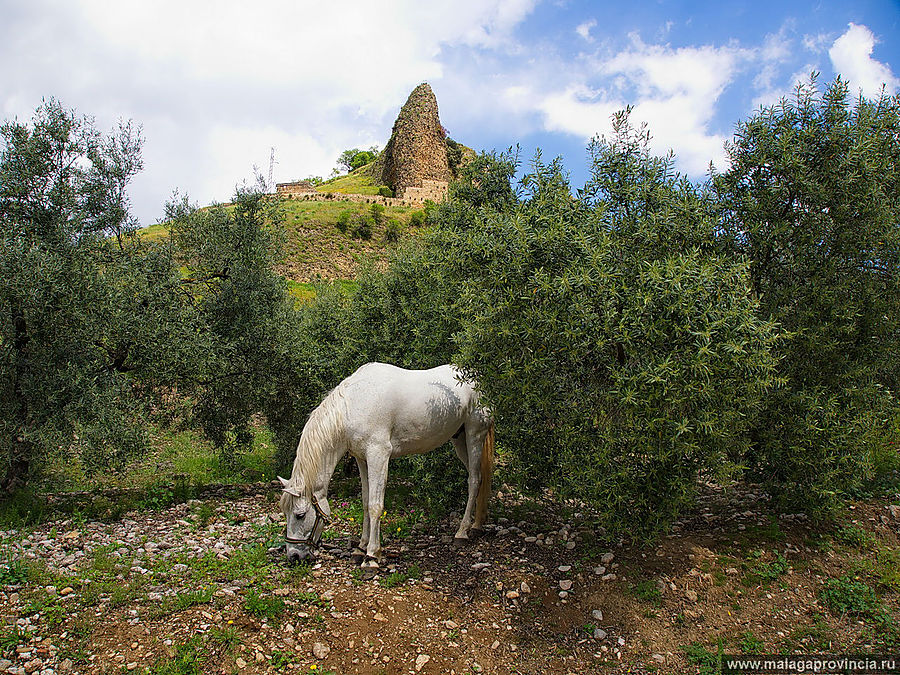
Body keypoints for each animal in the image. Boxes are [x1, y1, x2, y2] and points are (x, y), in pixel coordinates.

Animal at [278, 362, 496, 568]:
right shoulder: (362, 459)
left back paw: (462, 532)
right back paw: (476, 525)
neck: (353, 405)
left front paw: (371, 556)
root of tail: (478, 379)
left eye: (299, 515)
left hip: (474, 435)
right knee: (479, 479)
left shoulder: (379, 455)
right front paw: (360, 548)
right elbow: (365, 502)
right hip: (459, 439)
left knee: (474, 480)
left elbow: (375, 505)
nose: (294, 556)